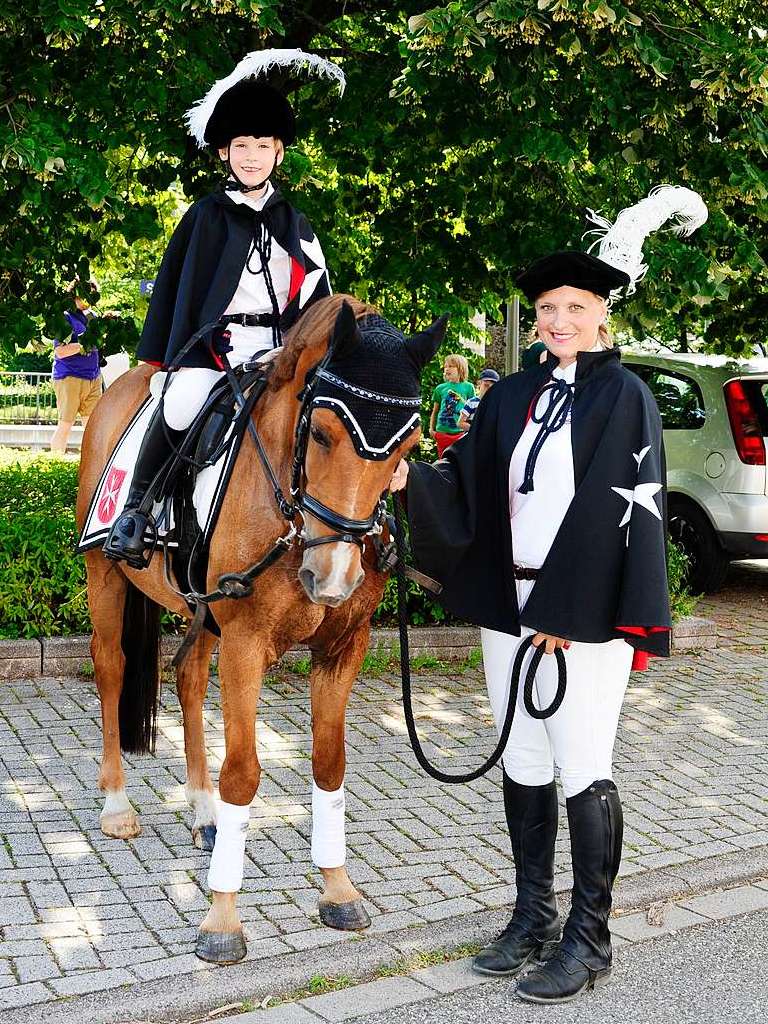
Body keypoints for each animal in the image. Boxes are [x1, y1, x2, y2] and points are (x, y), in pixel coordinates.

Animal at [76, 294, 444, 958]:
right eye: (320, 432)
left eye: (405, 448)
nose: (332, 576)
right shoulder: (246, 645)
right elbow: (244, 773)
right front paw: (222, 919)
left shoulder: (342, 648)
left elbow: (329, 763)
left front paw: (337, 888)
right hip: (105, 575)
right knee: (111, 669)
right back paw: (116, 803)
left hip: (201, 607)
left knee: (188, 674)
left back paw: (203, 811)